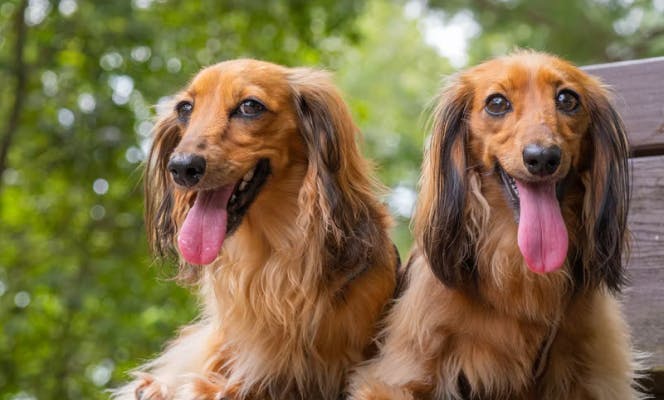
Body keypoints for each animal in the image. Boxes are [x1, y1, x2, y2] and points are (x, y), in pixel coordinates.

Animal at [348, 51, 644, 398]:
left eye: (567, 99)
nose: (542, 158)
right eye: (497, 103)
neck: (520, 272)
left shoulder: (594, 370)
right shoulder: (398, 372)